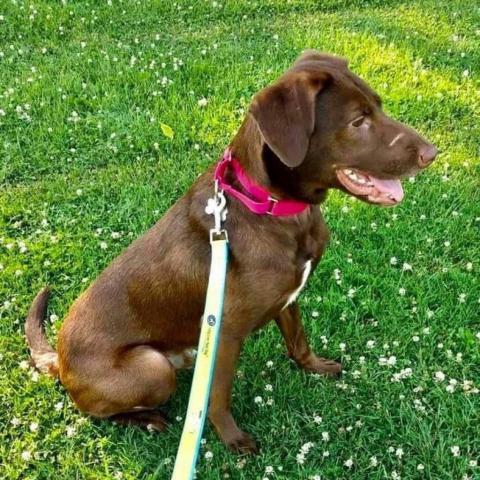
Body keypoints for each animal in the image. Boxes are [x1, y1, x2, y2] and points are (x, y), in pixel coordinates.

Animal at [27, 50, 438, 452]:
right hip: (151, 368)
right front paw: (233, 440)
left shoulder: (288, 299)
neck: (275, 209)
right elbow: (217, 396)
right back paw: (147, 419)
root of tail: (59, 361)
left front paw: (316, 367)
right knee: (100, 411)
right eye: (357, 121)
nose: (432, 153)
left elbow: (298, 342)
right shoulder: (224, 332)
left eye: (379, 107)